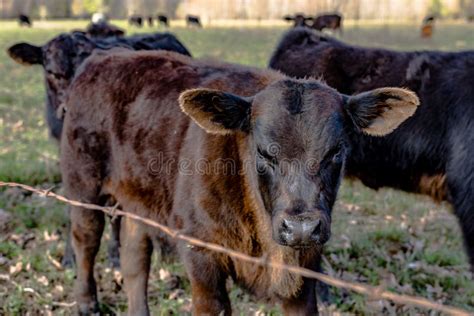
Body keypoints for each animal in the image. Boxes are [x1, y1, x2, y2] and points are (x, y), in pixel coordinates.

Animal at [60, 49, 418, 314]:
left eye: (336, 151)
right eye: (263, 151)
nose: (301, 227)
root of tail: (102, 58)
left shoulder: (306, 269)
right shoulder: (201, 256)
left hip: (138, 199)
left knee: (135, 259)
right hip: (83, 186)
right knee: (86, 240)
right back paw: (86, 303)